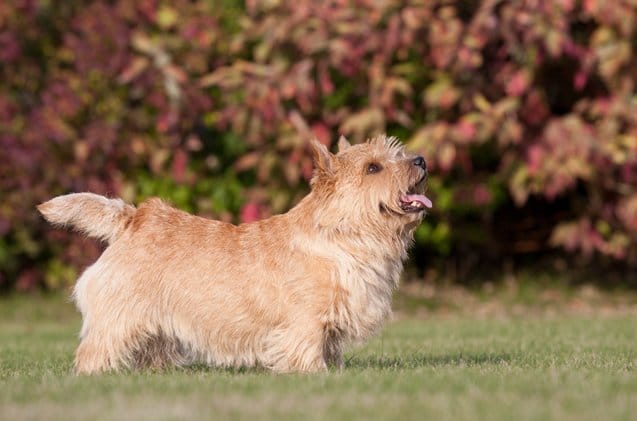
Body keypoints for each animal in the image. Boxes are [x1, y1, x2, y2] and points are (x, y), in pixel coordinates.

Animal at [37, 135, 430, 374]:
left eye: (398, 153)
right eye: (373, 167)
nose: (422, 159)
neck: (343, 237)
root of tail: (134, 218)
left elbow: (331, 352)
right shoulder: (305, 320)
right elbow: (307, 350)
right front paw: (314, 374)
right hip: (119, 316)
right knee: (92, 352)